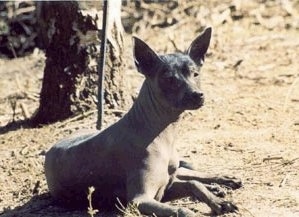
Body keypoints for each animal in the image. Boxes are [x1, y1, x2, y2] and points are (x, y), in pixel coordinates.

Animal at [44, 27, 243, 217]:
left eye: (195, 74)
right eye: (169, 79)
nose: (198, 95)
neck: (162, 135)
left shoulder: (167, 186)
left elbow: (194, 184)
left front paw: (218, 202)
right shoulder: (140, 200)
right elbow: (183, 208)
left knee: (190, 174)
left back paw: (222, 181)